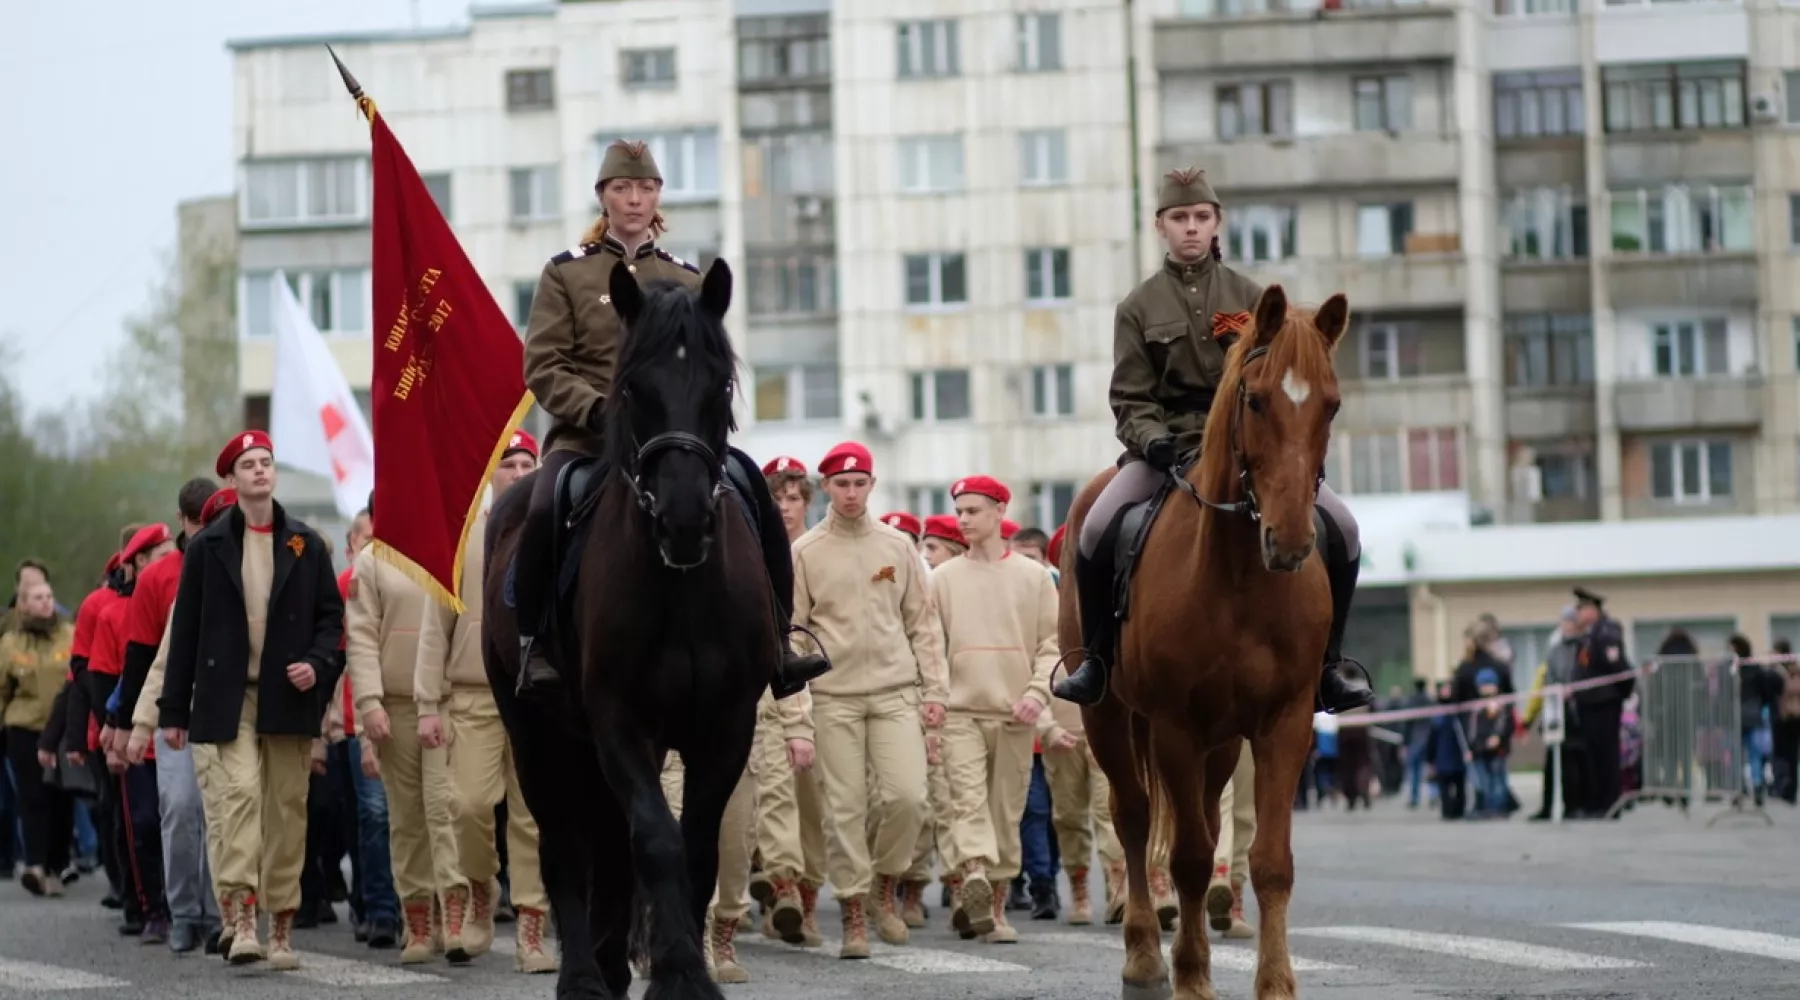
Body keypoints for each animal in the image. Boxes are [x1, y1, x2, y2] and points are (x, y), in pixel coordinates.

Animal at [486, 257, 774, 1000]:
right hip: (536, 736)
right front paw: (679, 972)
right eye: (632, 387)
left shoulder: (726, 725)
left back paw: (613, 964)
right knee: (564, 845)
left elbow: (694, 844)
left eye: (720, 384)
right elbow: (655, 838)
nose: (684, 520)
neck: (681, 587)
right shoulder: (618, 721)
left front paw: (684, 970)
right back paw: (585, 976)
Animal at [1058, 282, 1346, 1000]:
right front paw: (1190, 974)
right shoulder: (1174, 727)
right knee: (1134, 819)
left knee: (1210, 823)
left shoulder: (1283, 723)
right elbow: (1186, 855)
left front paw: (1275, 982)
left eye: (1330, 404)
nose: (1291, 541)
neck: (1240, 578)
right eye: (1257, 399)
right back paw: (1142, 957)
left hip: (1222, 742)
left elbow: (1269, 860)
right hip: (1109, 718)